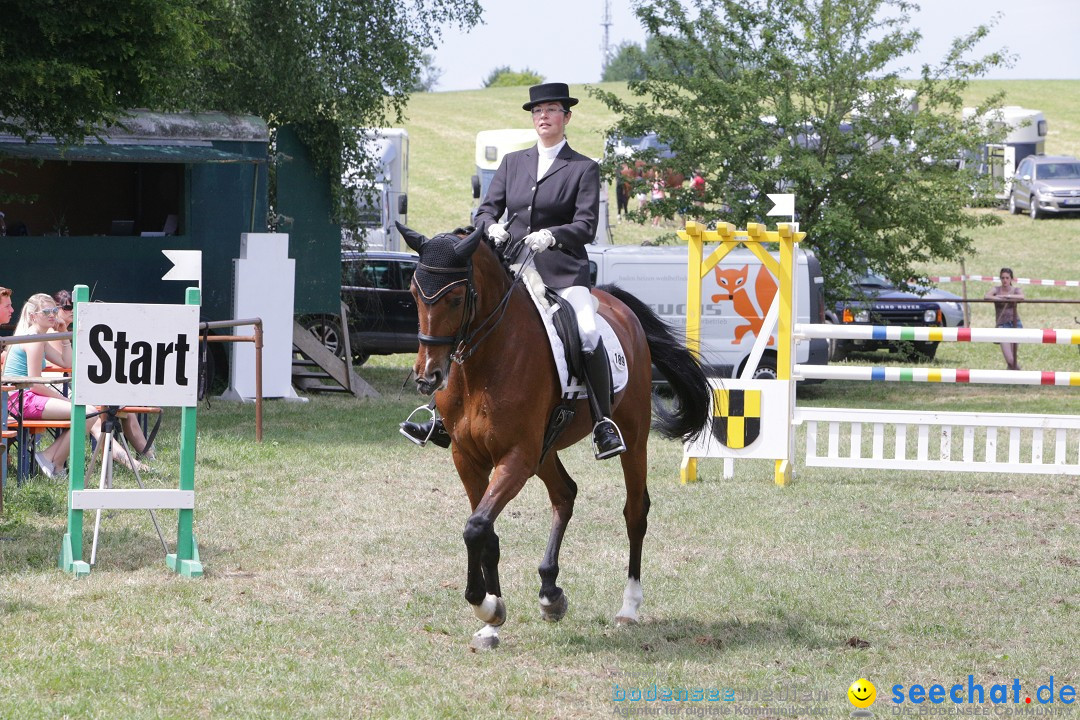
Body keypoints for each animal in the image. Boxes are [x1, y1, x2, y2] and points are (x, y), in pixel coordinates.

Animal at [397, 222, 708, 651]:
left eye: (457, 297)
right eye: (414, 293)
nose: (428, 377)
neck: (485, 362)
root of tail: (614, 302)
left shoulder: (517, 457)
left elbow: (476, 527)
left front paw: (485, 606)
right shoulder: (468, 457)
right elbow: (484, 531)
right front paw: (492, 619)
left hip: (631, 436)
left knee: (635, 512)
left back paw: (628, 607)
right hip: (545, 450)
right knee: (565, 494)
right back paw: (550, 593)